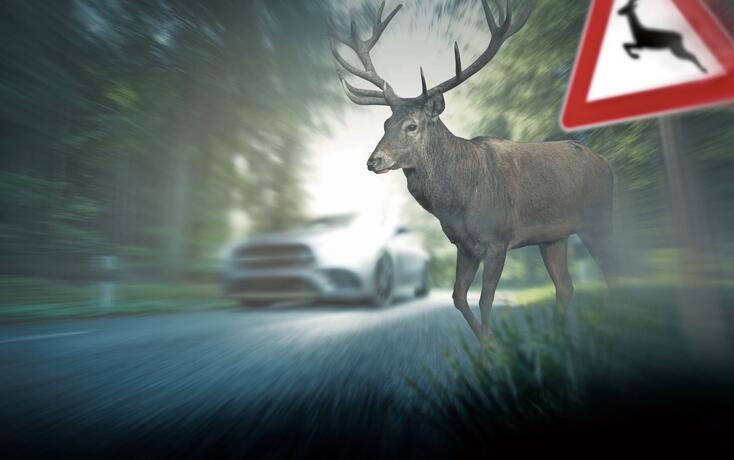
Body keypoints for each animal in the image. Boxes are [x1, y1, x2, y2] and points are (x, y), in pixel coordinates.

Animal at [328, 0, 615, 340]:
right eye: (385, 123)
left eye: (412, 125)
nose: (374, 161)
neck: (458, 201)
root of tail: (607, 164)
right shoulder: (464, 246)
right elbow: (458, 297)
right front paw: (487, 345)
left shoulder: (498, 239)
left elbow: (485, 299)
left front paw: (492, 348)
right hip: (554, 238)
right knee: (567, 287)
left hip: (599, 220)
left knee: (617, 271)